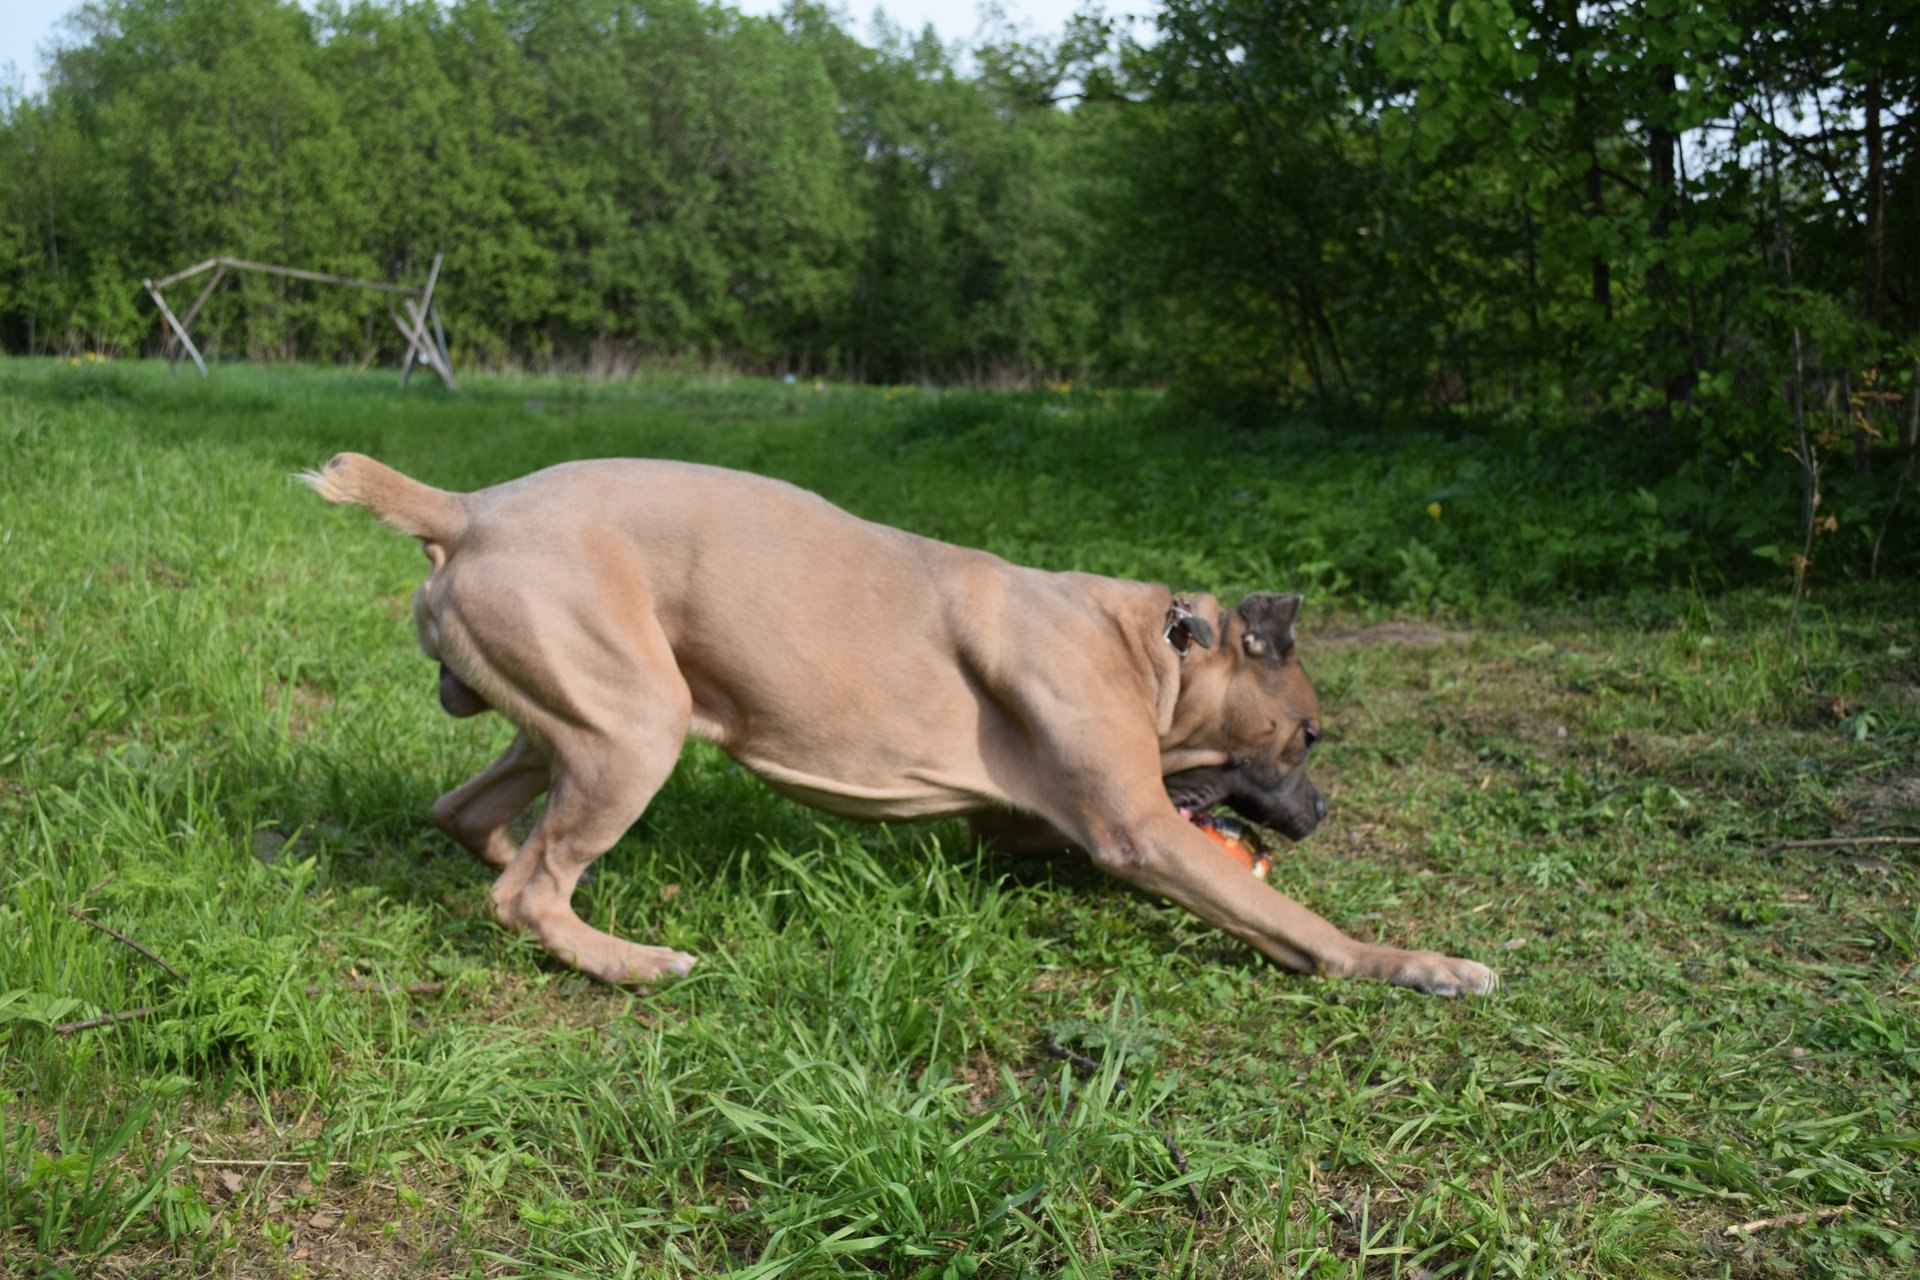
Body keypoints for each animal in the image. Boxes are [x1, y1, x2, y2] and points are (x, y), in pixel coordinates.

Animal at [303, 452, 1497, 997]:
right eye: (1309, 737)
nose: (1322, 811)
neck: (1156, 645)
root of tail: (468, 509)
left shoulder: (1040, 822)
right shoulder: (1141, 830)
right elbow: (1301, 926)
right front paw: (1417, 963)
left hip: (570, 717)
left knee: (474, 816)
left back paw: (529, 860)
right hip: (636, 728)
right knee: (529, 890)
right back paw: (631, 958)